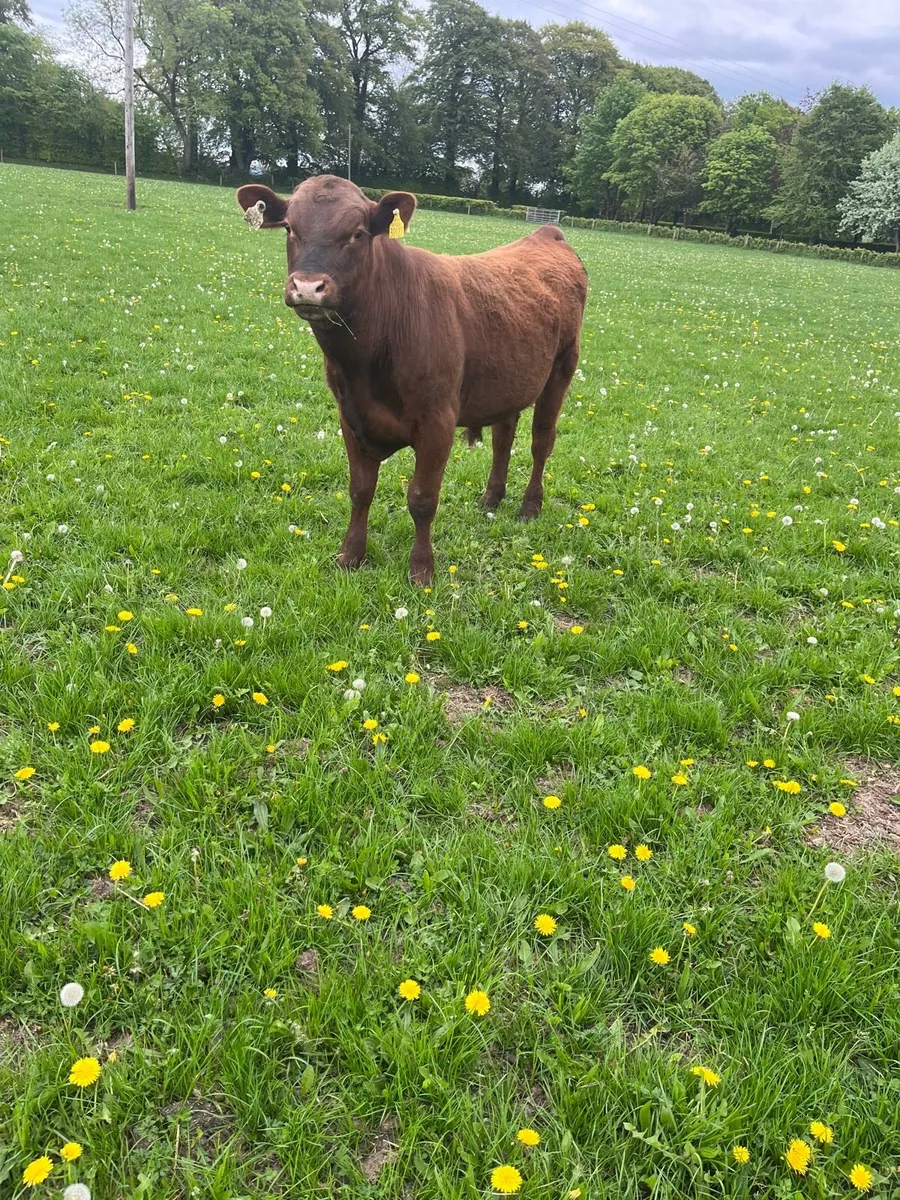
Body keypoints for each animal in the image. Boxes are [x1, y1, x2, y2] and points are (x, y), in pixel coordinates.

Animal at [236, 175, 587, 585]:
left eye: (357, 233)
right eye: (290, 228)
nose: (308, 287)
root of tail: (546, 234)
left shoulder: (438, 423)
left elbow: (422, 499)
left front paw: (421, 570)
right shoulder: (350, 417)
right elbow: (360, 490)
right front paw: (350, 556)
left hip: (561, 368)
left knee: (541, 442)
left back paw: (530, 506)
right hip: (507, 381)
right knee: (504, 437)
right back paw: (492, 497)